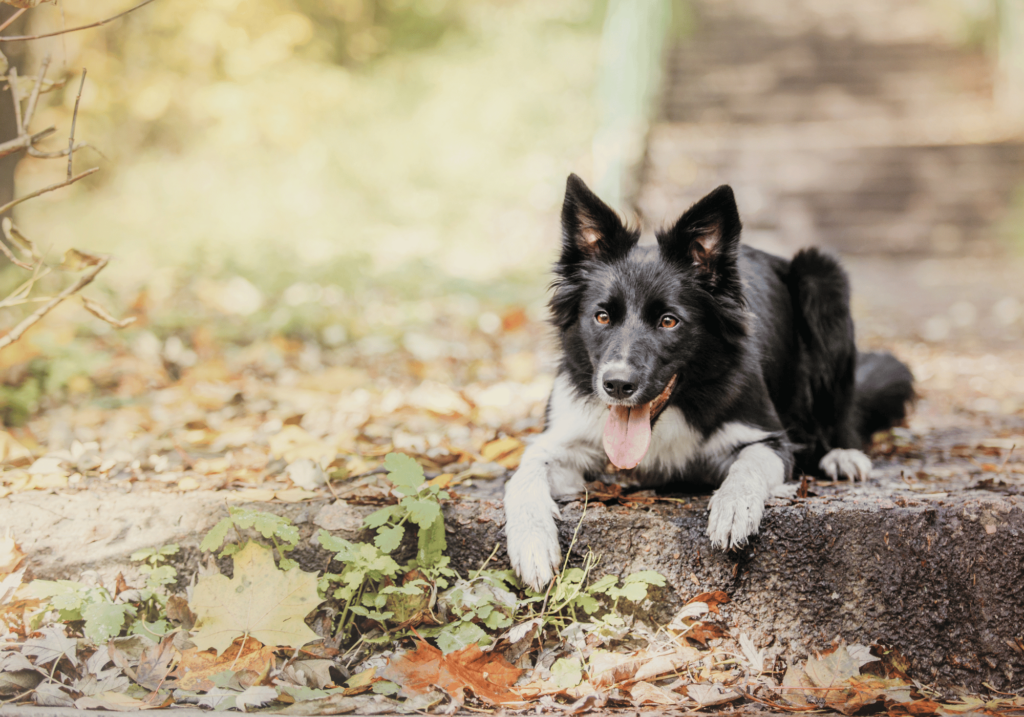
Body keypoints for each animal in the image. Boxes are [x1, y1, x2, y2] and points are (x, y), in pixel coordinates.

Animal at [503, 174, 913, 589]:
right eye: (602, 317)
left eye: (669, 321)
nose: (617, 385)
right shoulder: (566, 439)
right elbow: (523, 473)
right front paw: (531, 542)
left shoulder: (770, 439)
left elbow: (747, 466)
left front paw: (733, 509)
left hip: (824, 280)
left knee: (840, 417)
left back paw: (842, 454)